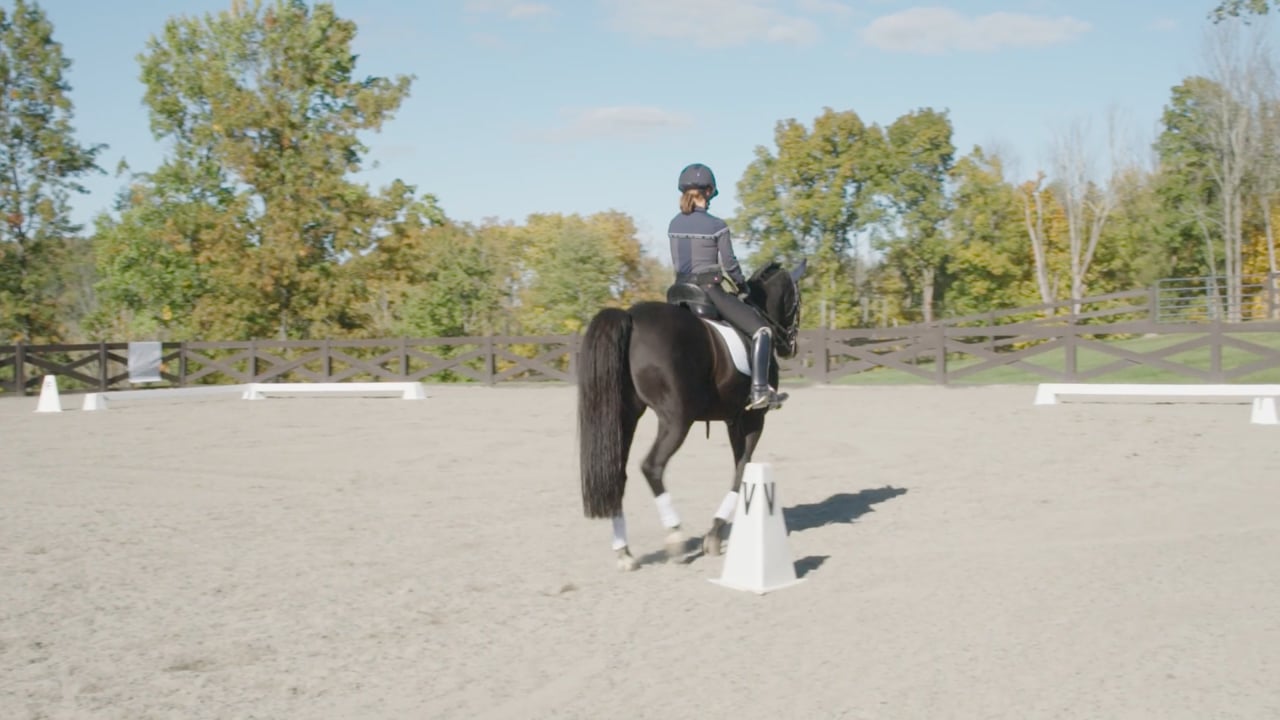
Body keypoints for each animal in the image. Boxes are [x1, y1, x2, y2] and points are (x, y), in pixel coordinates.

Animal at [576, 259, 806, 570]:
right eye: (797, 300)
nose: (790, 346)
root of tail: (630, 317)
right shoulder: (751, 419)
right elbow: (742, 469)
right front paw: (714, 533)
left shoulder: (733, 419)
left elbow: (740, 468)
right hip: (676, 421)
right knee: (652, 467)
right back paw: (675, 536)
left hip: (626, 417)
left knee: (617, 474)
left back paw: (624, 551)